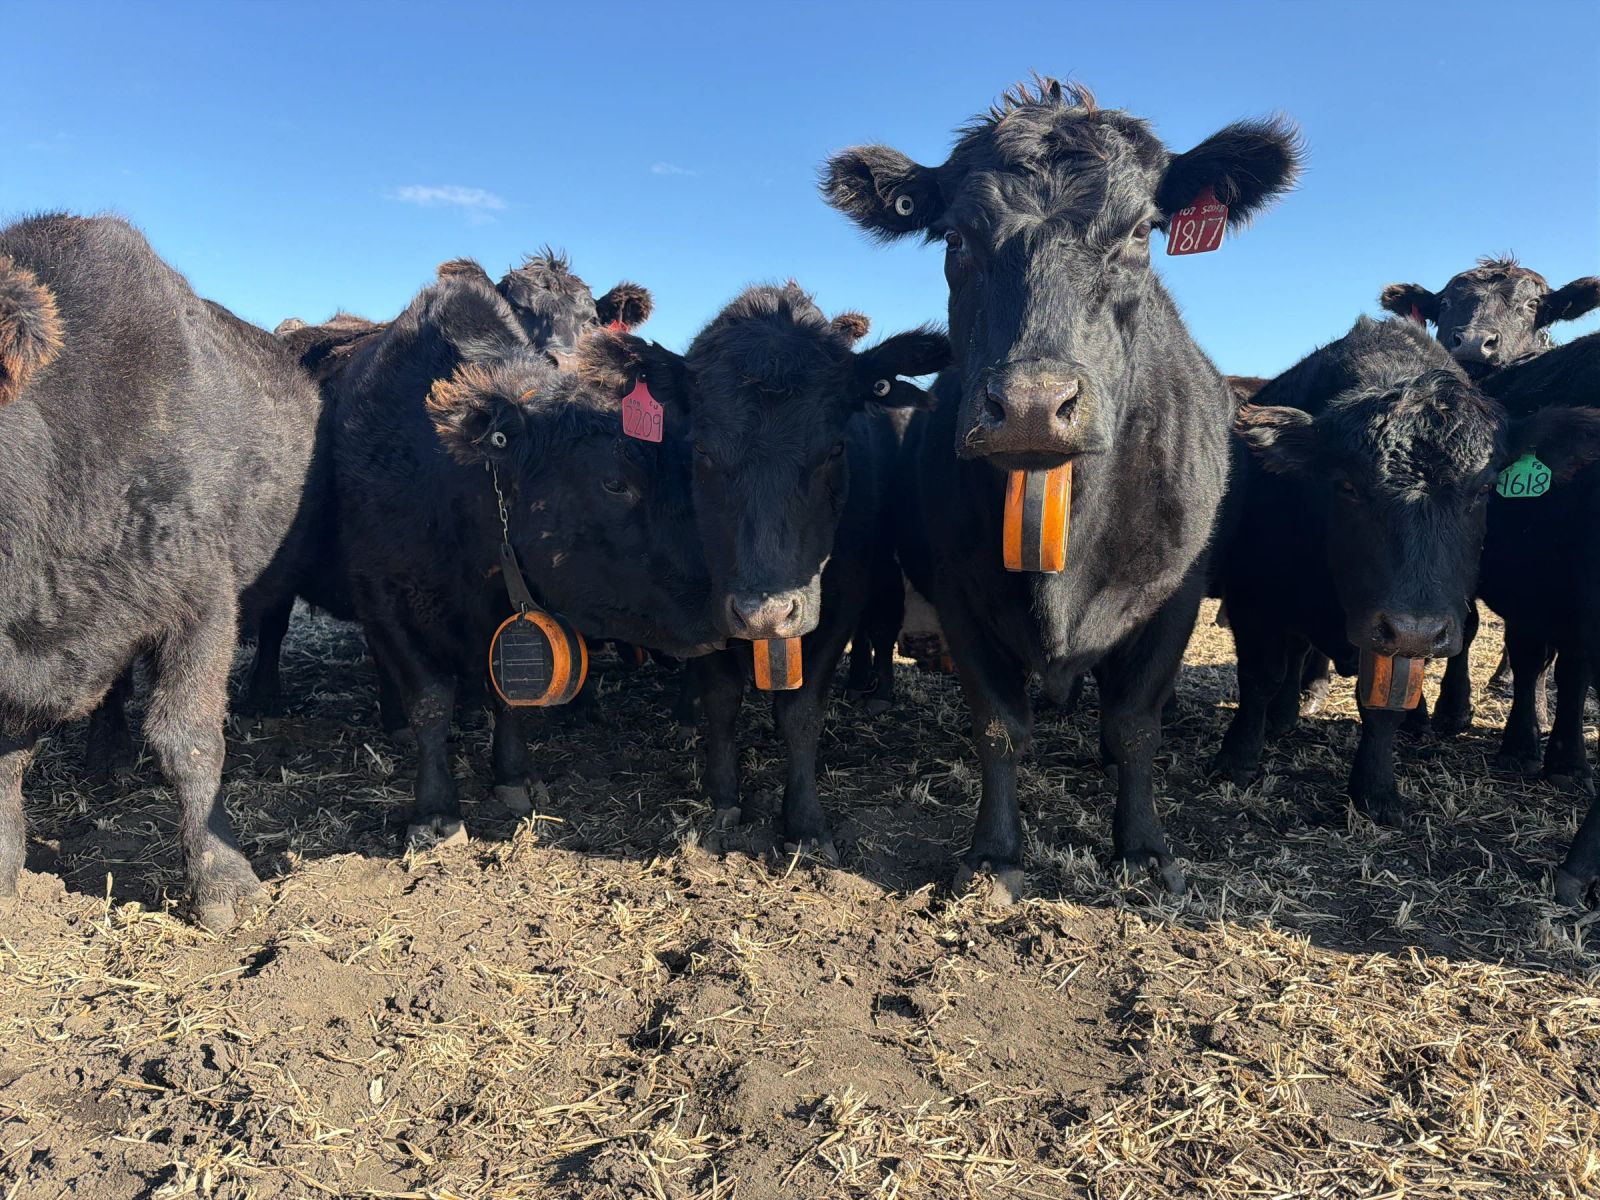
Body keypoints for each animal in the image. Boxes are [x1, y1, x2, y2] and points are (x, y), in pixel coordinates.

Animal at [331, 267, 721, 842]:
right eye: (614, 481)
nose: (737, 602)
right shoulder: (381, 598)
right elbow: (429, 699)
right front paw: (434, 809)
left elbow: (506, 694)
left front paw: (513, 775)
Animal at [577, 284, 949, 856]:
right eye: (701, 448)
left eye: (836, 446)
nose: (764, 614)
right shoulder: (704, 598)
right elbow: (721, 697)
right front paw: (723, 793)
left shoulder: (843, 593)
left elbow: (801, 711)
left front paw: (806, 821)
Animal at [820, 79, 1302, 899]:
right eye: (955, 238)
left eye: (1141, 233)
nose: (1030, 404)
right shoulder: (959, 590)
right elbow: (997, 726)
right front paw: (994, 853)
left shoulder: (1177, 590)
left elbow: (1136, 723)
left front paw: (1143, 848)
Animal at [1211, 317, 1596, 825]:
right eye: (1348, 485)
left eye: (1484, 488)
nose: (1416, 630)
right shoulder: (1254, 592)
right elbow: (1261, 675)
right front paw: (1237, 756)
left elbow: (1385, 705)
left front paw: (1375, 789)